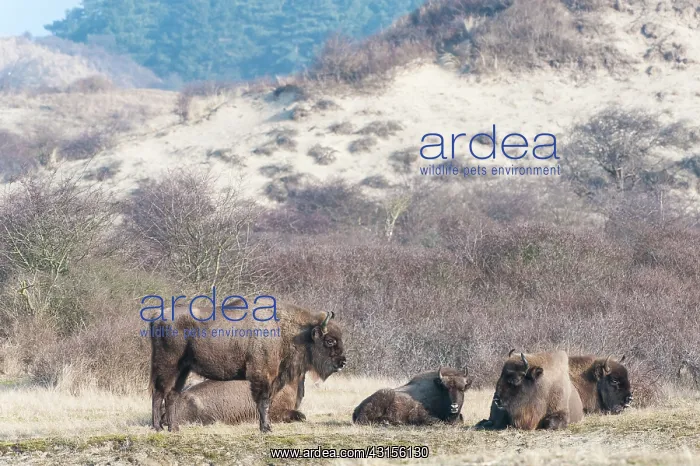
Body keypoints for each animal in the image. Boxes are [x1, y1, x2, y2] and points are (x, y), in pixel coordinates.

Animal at [150, 301, 346, 432]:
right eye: (329, 340)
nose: (343, 362)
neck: (285, 331)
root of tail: (157, 316)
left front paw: (264, 427)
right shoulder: (263, 375)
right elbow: (263, 401)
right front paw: (266, 428)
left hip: (182, 371)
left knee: (171, 395)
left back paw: (174, 428)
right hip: (167, 366)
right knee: (158, 393)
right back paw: (158, 427)